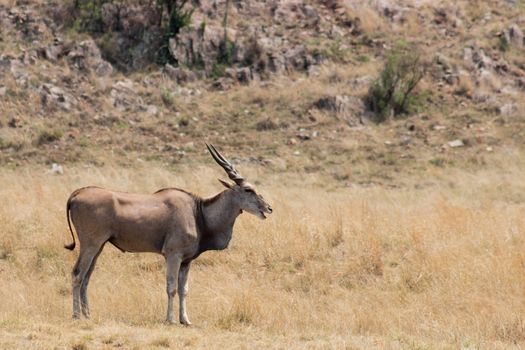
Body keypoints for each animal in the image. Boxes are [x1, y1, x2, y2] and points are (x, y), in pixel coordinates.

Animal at [63, 144, 272, 324]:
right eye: (248, 189)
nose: (268, 208)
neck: (198, 212)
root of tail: (76, 194)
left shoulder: (186, 261)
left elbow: (184, 289)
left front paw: (185, 320)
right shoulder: (173, 255)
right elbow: (171, 288)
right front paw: (170, 319)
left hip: (99, 247)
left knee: (86, 278)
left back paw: (88, 315)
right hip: (90, 245)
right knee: (77, 274)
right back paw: (76, 315)